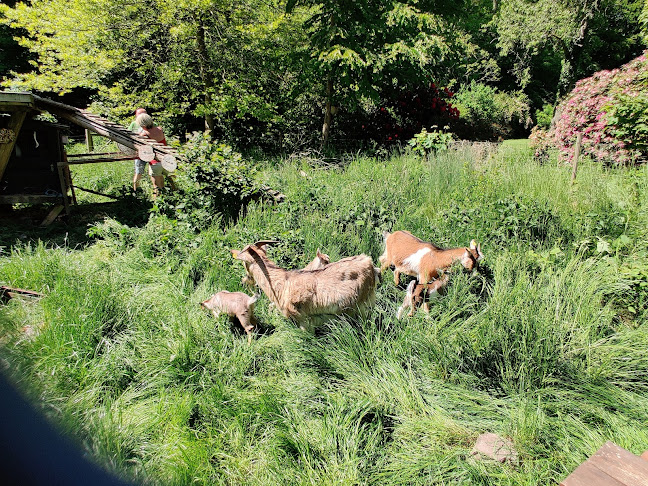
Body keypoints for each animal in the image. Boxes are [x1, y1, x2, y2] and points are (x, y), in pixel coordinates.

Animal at [232, 242, 378, 332]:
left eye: (244, 263)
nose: (244, 280)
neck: (281, 283)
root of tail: (369, 263)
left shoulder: (303, 320)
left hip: (361, 307)